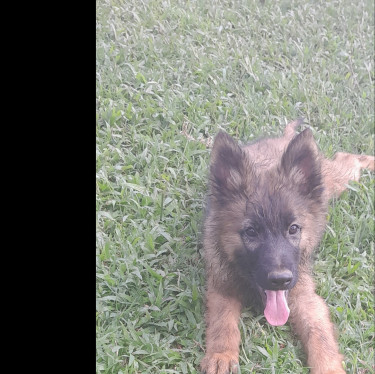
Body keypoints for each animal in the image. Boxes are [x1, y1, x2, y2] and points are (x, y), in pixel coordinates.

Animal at [201, 120, 374, 374]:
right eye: (251, 232)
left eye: (293, 229)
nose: (280, 280)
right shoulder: (222, 288)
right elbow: (223, 322)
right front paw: (221, 354)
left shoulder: (305, 297)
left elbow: (319, 334)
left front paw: (328, 367)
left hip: (337, 182)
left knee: (347, 158)